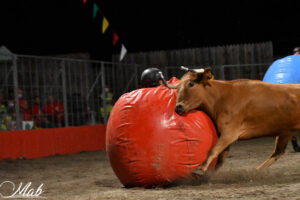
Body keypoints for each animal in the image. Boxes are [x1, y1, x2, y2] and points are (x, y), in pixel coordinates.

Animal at [162, 67, 300, 173]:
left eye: (191, 84)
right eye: (177, 88)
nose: (178, 107)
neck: (222, 97)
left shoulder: (230, 133)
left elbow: (214, 150)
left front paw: (200, 169)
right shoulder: (226, 136)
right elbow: (221, 157)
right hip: (285, 132)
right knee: (278, 152)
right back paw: (257, 171)